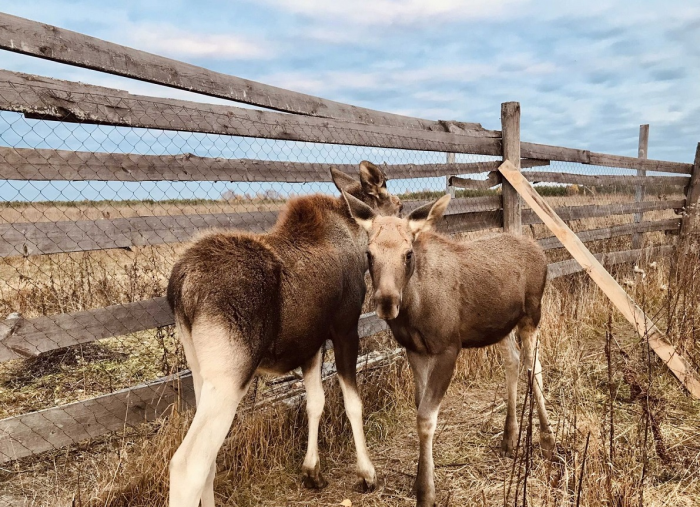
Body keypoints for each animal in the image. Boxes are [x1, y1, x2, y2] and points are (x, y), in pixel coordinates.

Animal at [344, 191, 552, 507]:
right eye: (369, 254)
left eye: (408, 253)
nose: (387, 302)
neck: (415, 307)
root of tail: (540, 251)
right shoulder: (415, 350)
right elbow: (419, 407)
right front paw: (420, 479)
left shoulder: (448, 348)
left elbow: (426, 418)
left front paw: (426, 492)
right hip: (502, 325)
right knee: (514, 363)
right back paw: (509, 437)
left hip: (532, 315)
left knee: (534, 365)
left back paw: (547, 438)